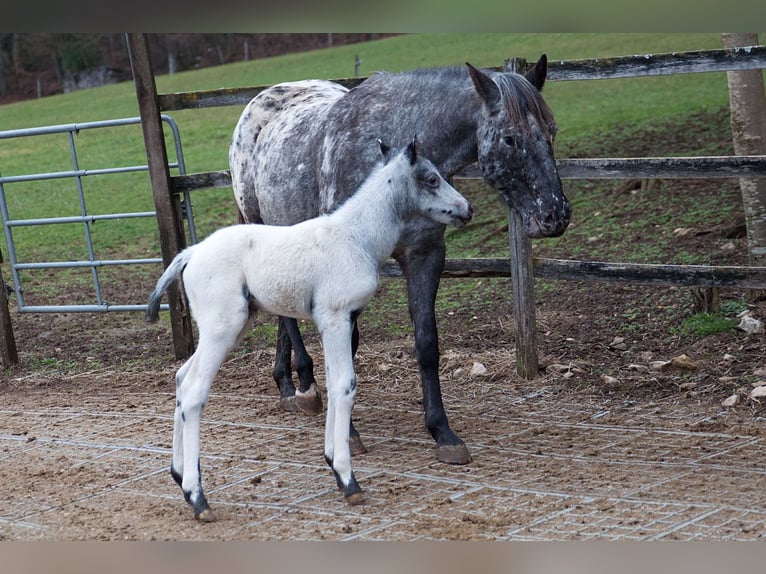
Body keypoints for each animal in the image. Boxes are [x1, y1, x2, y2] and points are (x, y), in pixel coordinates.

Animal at [146, 138, 472, 520]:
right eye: (432, 179)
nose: (467, 208)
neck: (355, 236)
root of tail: (190, 254)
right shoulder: (335, 317)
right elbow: (345, 385)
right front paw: (348, 480)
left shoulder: (339, 321)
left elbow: (334, 382)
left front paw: (334, 462)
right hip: (221, 328)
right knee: (194, 391)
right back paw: (199, 498)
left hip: (231, 327)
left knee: (182, 377)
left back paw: (180, 477)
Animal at [228, 54, 568, 468]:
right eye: (510, 138)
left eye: (551, 131)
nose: (555, 215)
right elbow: (348, 345)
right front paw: (349, 433)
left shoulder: (424, 256)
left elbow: (427, 343)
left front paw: (442, 432)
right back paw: (305, 387)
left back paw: (289, 384)